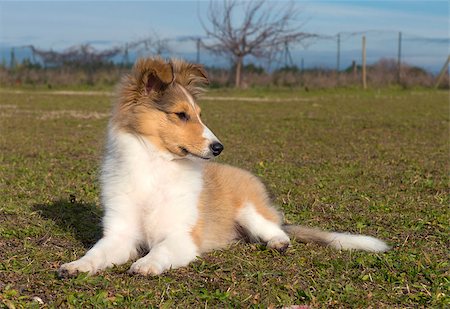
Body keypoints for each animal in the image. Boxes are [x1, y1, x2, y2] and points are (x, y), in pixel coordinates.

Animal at [58, 57, 388, 276]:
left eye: (199, 113)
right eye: (181, 114)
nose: (218, 147)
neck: (156, 167)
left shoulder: (182, 236)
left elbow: (160, 250)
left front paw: (146, 264)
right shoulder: (120, 234)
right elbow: (97, 251)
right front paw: (77, 265)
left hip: (250, 211)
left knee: (279, 232)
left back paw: (277, 243)